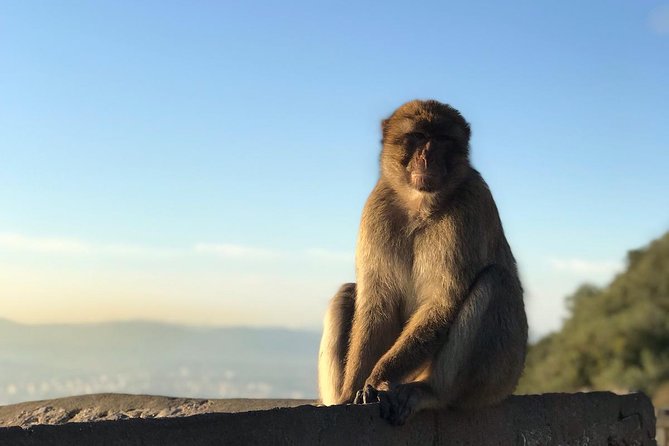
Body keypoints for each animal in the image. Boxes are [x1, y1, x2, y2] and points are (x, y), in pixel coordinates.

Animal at [318, 100, 528, 426]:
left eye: (442, 140)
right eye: (417, 136)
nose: (427, 156)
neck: (419, 204)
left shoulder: (471, 203)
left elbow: (443, 301)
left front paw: (376, 379)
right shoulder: (376, 208)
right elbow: (377, 303)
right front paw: (353, 390)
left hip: (502, 374)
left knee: (497, 280)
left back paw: (431, 392)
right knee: (347, 293)